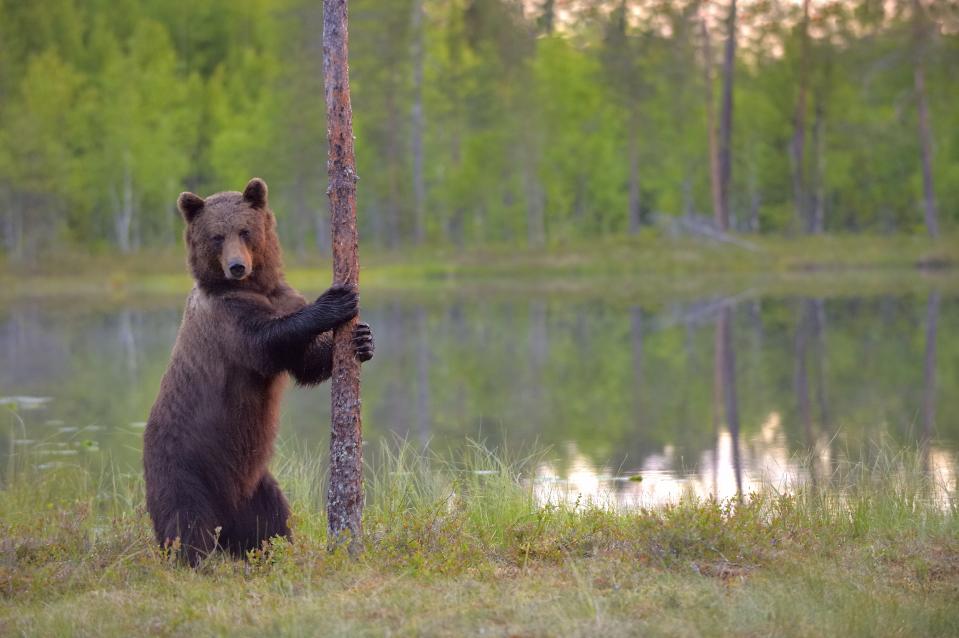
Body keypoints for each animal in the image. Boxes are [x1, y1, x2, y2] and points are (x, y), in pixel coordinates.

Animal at [142, 178, 376, 568]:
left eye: (245, 230)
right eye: (216, 236)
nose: (237, 266)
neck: (254, 288)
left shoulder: (281, 295)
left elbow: (304, 363)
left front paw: (362, 339)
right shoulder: (226, 321)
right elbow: (267, 342)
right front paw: (334, 301)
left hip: (254, 483)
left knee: (271, 521)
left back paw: (270, 552)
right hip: (183, 468)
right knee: (186, 524)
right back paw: (194, 563)